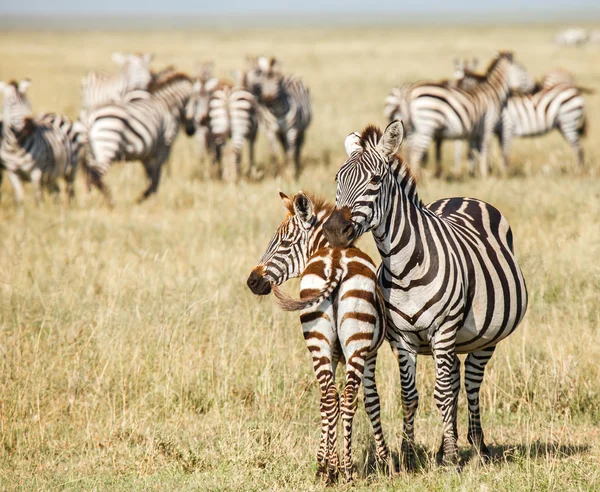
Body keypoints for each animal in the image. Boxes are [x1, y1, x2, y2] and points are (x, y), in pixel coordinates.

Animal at [0, 78, 76, 208]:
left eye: (28, 104)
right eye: (13, 105)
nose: (30, 126)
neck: (15, 146)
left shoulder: (36, 171)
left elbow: (38, 197)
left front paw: (39, 211)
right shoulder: (12, 172)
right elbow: (20, 198)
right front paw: (22, 213)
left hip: (70, 168)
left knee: (70, 191)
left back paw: (69, 208)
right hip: (51, 174)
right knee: (56, 190)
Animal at [84, 70, 191, 203]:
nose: (190, 131)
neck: (168, 105)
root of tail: (89, 118)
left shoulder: (147, 152)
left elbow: (151, 175)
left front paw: (147, 195)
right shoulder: (163, 147)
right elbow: (156, 175)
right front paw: (146, 196)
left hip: (92, 152)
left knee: (88, 174)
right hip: (107, 147)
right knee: (95, 175)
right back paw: (107, 201)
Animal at [246, 190, 392, 482]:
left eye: (284, 243)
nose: (252, 282)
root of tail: (336, 263)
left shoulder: (340, 354)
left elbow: (329, 404)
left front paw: (328, 462)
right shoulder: (369, 354)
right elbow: (371, 402)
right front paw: (386, 461)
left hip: (319, 340)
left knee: (330, 396)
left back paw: (327, 469)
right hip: (355, 344)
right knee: (347, 397)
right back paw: (347, 470)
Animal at [326, 121, 528, 468]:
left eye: (375, 180)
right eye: (338, 179)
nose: (334, 231)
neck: (404, 268)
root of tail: (463, 197)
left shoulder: (444, 329)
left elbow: (442, 393)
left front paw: (450, 457)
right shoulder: (402, 339)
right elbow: (410, 396)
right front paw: (409, 453)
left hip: (485, 338)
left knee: (470, 382)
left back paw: (477, 446)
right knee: (457, 379)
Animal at [400, 52, 532, 178]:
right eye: (523, 70)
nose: (533, 86)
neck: (493, 92)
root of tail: (410, 92)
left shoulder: (474, 132)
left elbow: (474, 151)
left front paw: (474, 173)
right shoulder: (488, 125)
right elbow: (484, 149)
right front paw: (485, 174)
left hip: (414, 128)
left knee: (409, 150)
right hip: (427, 124)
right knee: (415, 153)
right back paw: (418, 177)